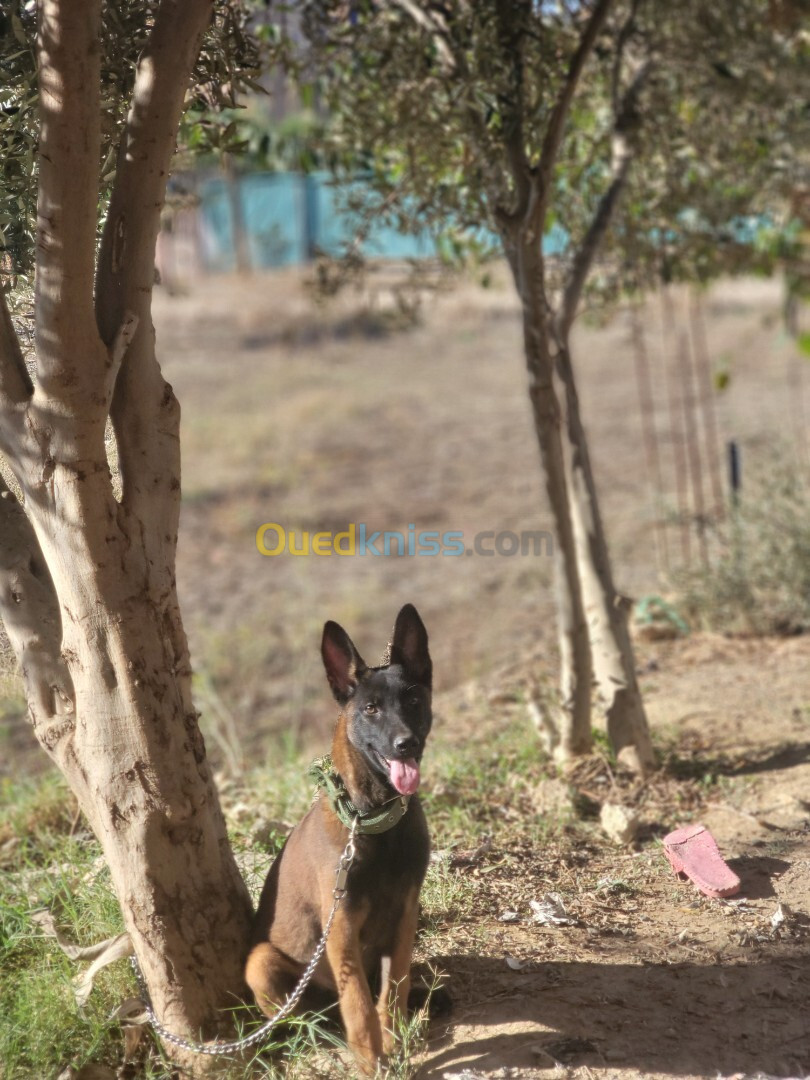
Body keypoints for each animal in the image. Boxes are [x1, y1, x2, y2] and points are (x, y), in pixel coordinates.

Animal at [246, 604, 434, 1075]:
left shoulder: (407, 910)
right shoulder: (342, 925)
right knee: (312, 1016)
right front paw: (371, 1059)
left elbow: (395, 984)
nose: (406, 744)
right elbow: (358, 1003)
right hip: (261, 963)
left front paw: (395, 1036)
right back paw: (327, 1034)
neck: (374, 821)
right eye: (370, 708)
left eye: (414, 701)